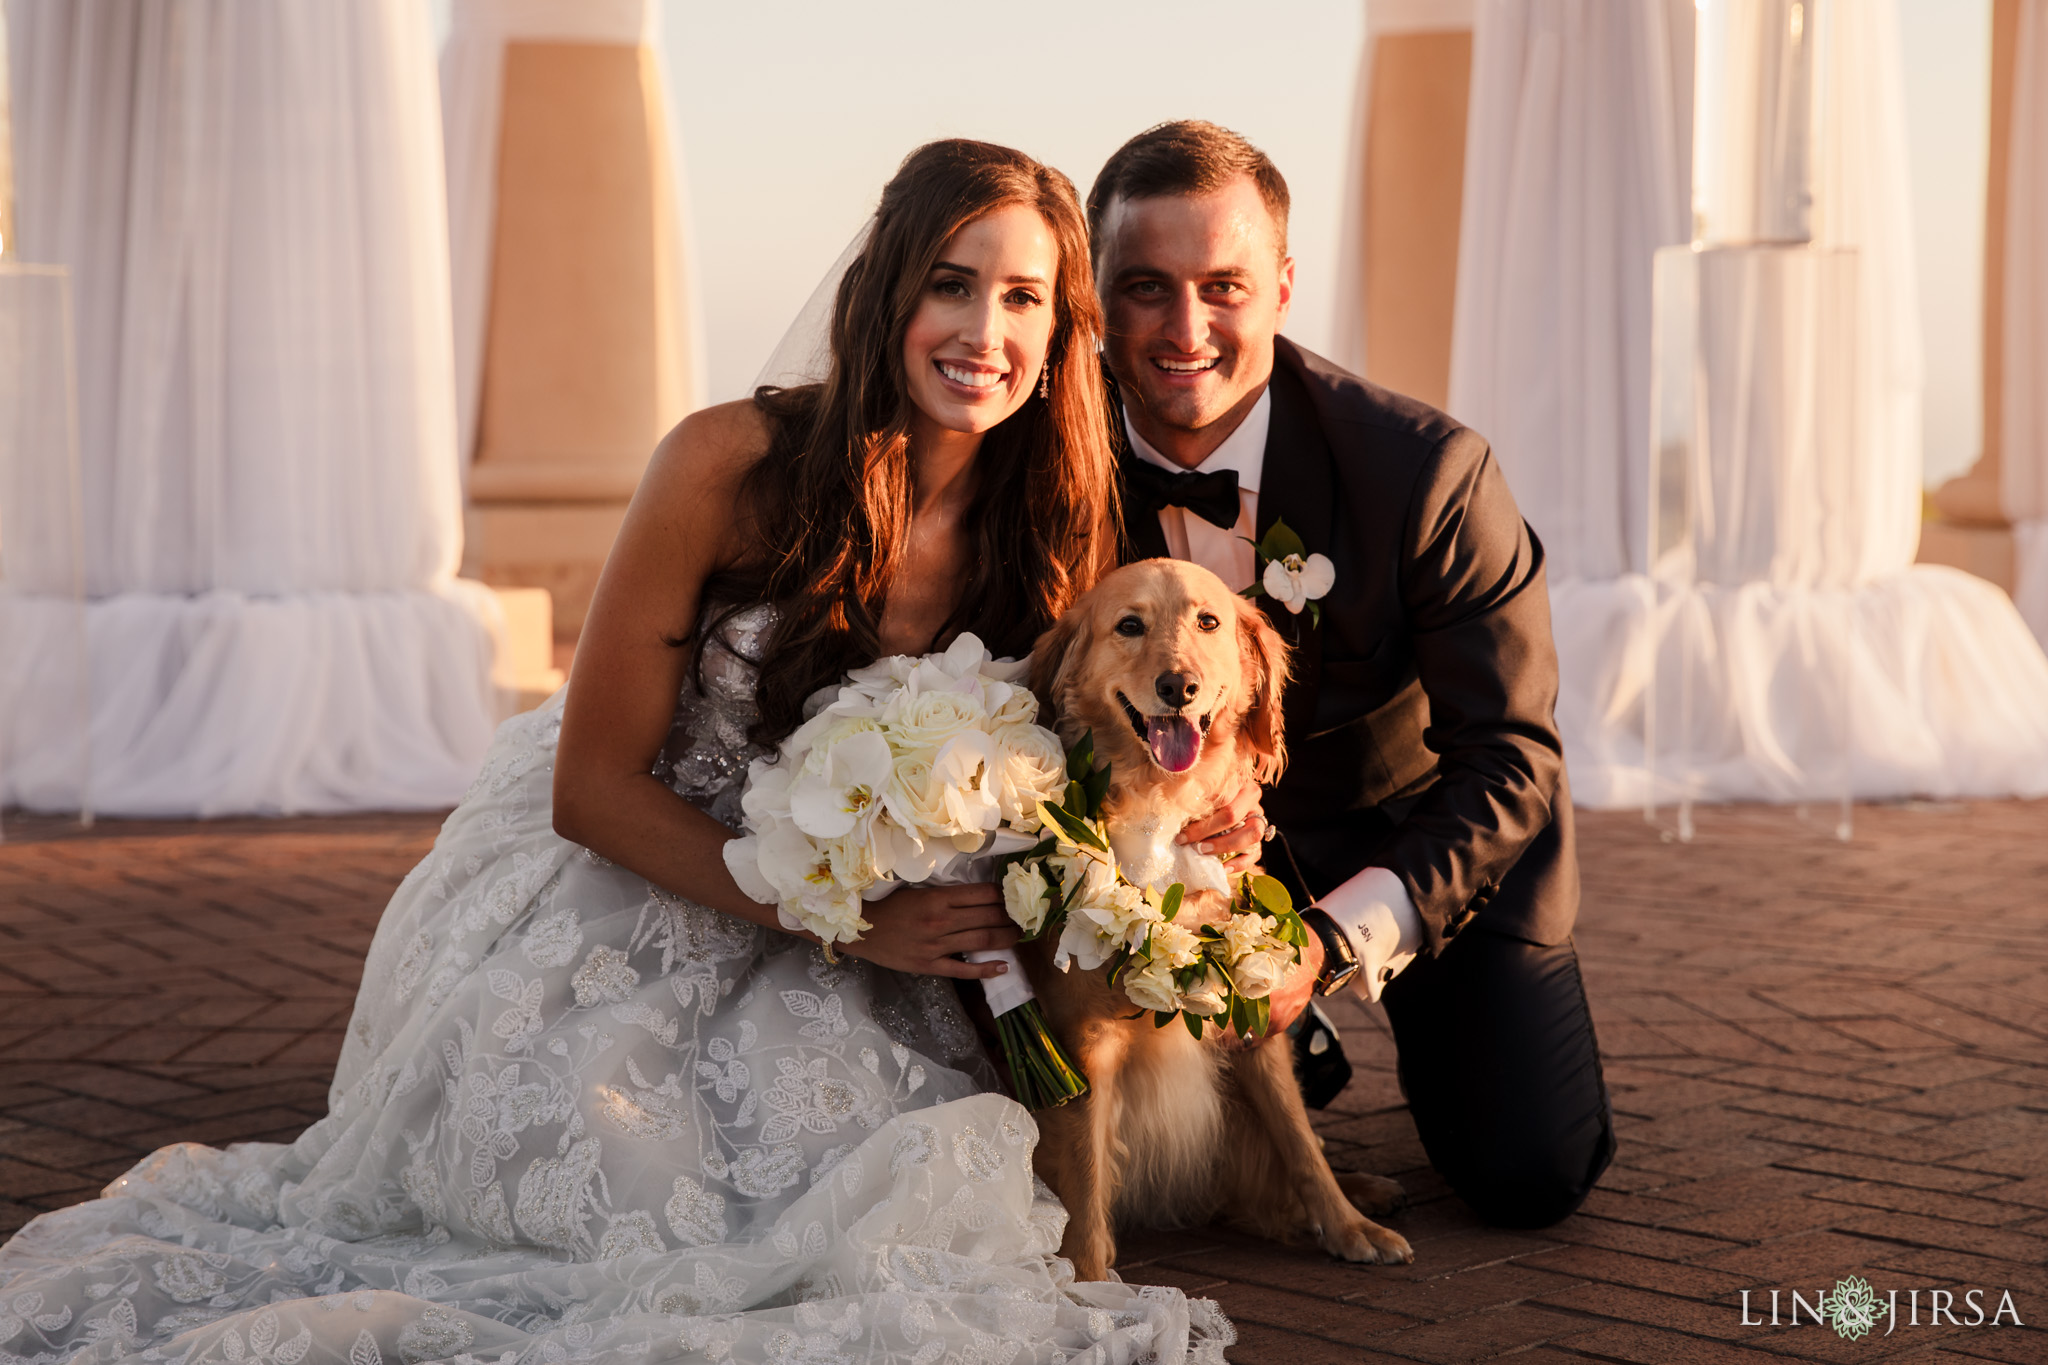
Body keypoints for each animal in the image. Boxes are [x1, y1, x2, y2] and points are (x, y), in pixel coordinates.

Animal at [1019, 556, 1409, 1285]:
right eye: (1130, 625)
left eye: (1208, 621)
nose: (1179, 685)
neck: (1164, 812)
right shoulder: (1083, 1044)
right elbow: (1085, 1176)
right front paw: (1090, 1285)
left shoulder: (1257, 1023)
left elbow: (1300, 1142)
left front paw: (1350, 1227)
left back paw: (1367, 1191)